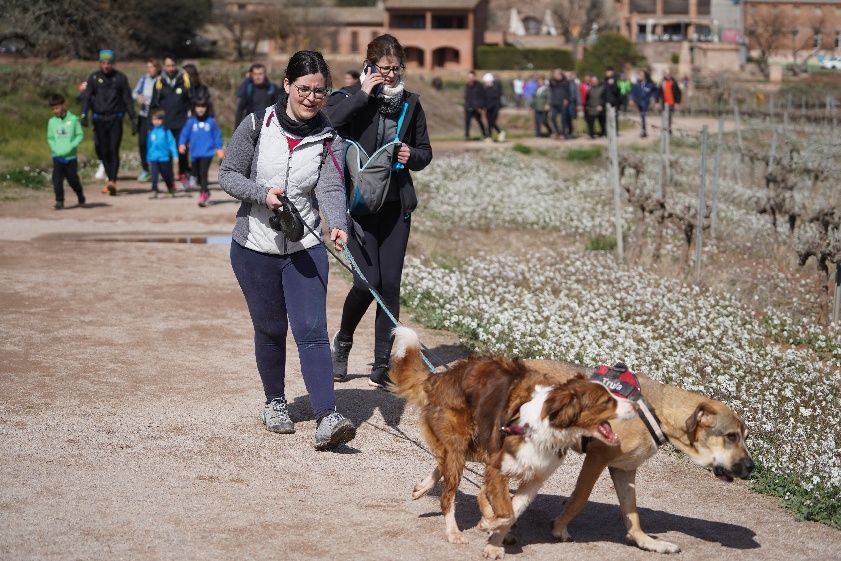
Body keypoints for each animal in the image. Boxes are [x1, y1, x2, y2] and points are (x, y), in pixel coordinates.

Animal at [390, 326, 632, 556]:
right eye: (605, 401)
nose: (635, 406)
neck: (546, 424)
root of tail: (442, 376)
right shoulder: (497, 468)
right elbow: (506, 512)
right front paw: (488, 525)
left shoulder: (533, 479)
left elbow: (512, 512)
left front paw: (494, 541)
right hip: (463, 442)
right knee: (448, 494)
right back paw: (453, 531)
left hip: (477, 443)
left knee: (444, 464)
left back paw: (423, 488)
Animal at [524, 358, 756, 552]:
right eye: (731, 436)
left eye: (745, 436)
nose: (752, 467)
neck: (659, 412)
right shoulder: (597, 457)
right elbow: (580, 497)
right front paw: (559, 528)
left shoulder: (624, 469)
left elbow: (632, 512)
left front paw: (645, 541)